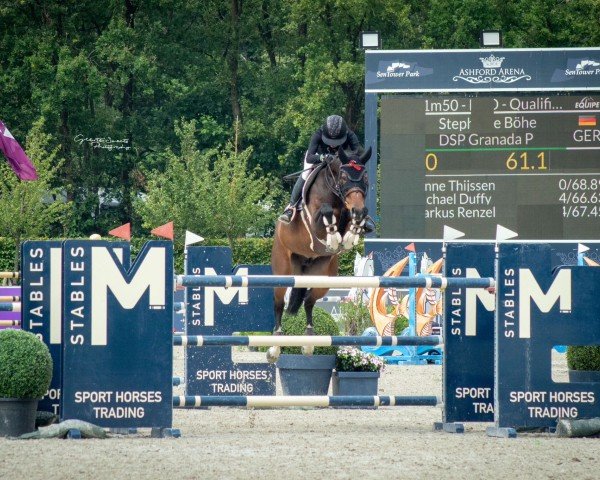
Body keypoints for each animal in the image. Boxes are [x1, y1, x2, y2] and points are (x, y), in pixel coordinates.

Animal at [268, 148, 370, 362]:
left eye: (365, 177)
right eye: (344, 176)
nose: (356, 208)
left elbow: (355, 220)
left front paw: (350, 235)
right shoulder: (315, 220)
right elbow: (326, 211)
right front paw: (333, 238)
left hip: (322, 278)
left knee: (309, 301)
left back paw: (308, 342)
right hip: (283, 272)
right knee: (279, 304)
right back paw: (275, 347)